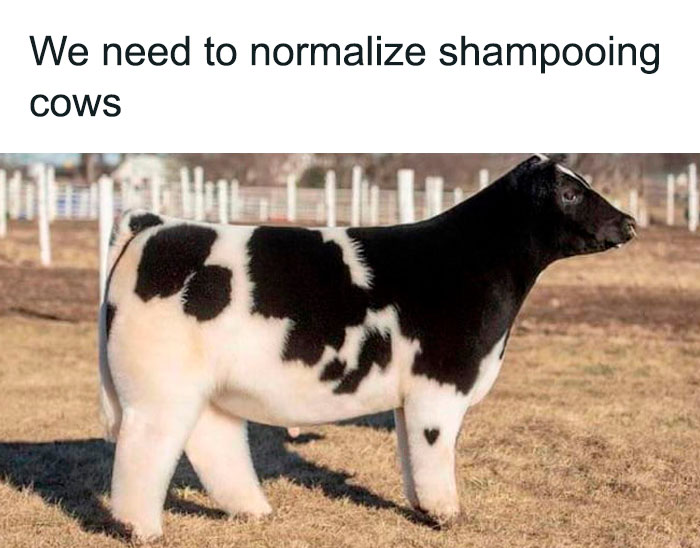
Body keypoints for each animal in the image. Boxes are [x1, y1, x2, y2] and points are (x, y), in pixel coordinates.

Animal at [98, 155, 636, 541]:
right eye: (570, 192)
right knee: (146, 449)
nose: (629, 222)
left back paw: (253, 511)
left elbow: (411, 454)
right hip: (159, 387)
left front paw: (422, 508)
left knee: (214, 441)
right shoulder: (440, 384)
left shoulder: (411, 396)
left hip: (206, 387)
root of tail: (156, 224)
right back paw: (141, 529)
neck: (468, 262)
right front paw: (447, 515)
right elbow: (435, 452)